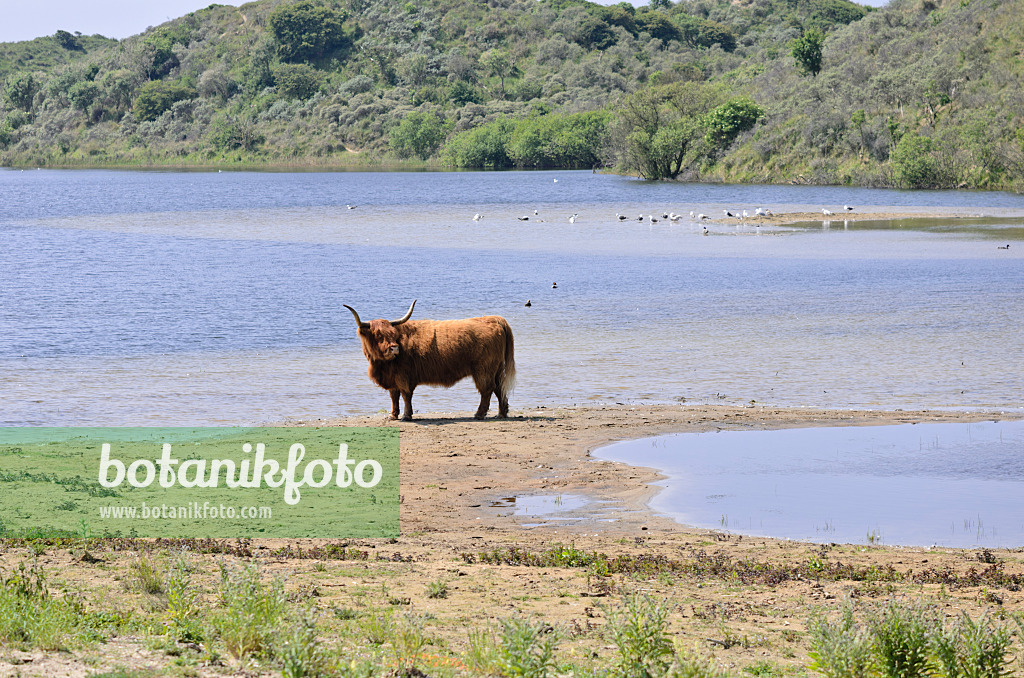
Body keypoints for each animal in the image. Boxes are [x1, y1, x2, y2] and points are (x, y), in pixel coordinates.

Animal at [344, 301, 516, 419]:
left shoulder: (404, 377)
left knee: (487, 390)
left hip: (483, 370)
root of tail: (493, 319)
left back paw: (479, 414)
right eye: (378, 335)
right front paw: (393, 415)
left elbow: (405, 395)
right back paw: (501, 413)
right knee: (499, 388)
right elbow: (394, 396)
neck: (383, 366)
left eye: (393, 334)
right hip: (496, 369)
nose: (394, 348)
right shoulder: (393, 379)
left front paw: (406, 416)